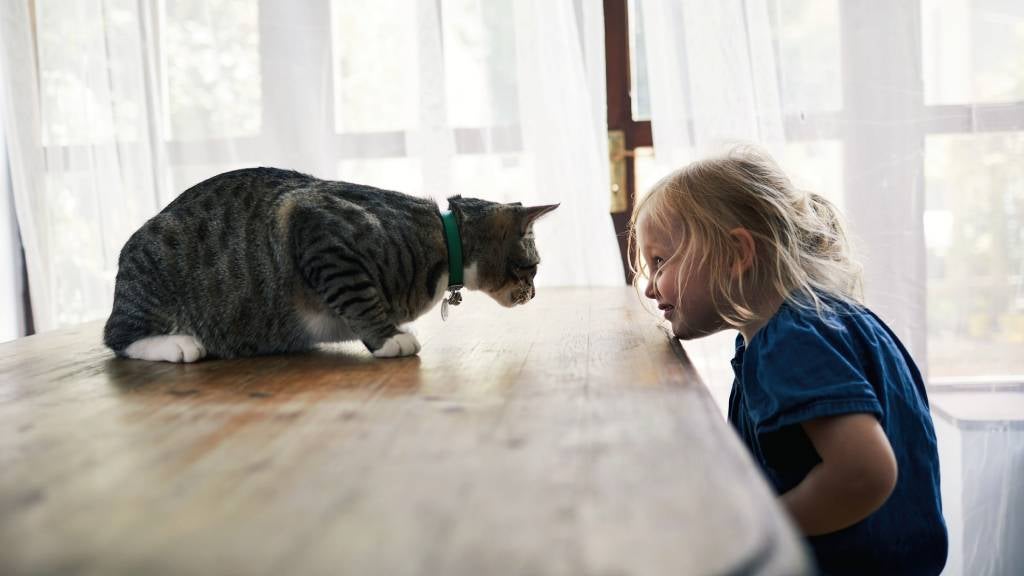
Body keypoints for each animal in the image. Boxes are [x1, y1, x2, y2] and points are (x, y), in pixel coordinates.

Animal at [99, 166, 557, 360]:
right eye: (532, 267)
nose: (534, 293)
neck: (442, 238)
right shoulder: (320, 233)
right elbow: (358, 297)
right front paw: (389, 339)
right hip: (155, 276)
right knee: (118, 336)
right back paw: (177, 344)